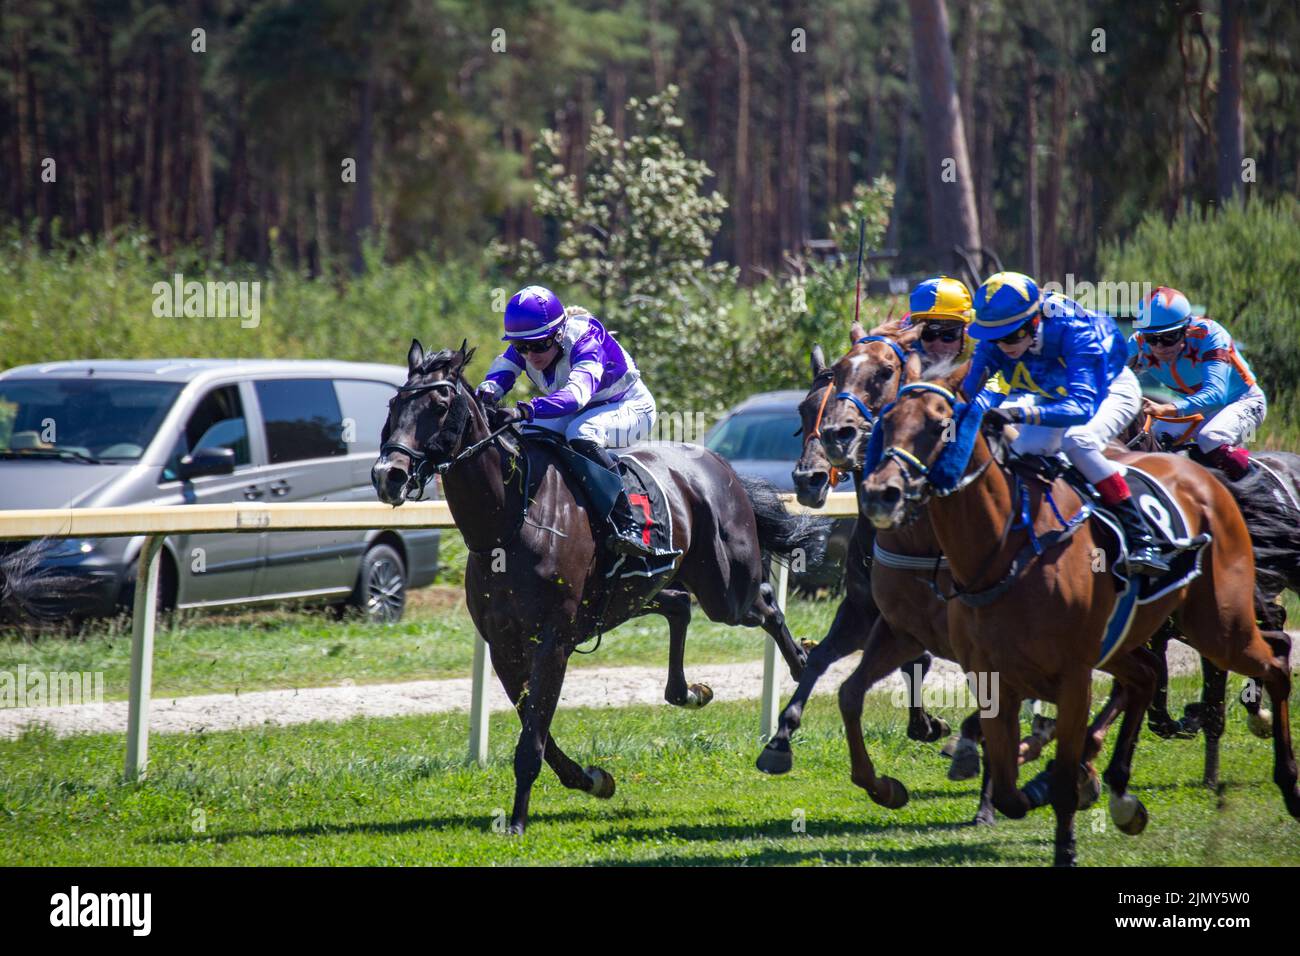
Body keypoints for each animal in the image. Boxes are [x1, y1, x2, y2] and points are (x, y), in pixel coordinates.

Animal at [371, 340, 826, 832]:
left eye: (438, 405)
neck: (510, 523)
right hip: (636, 592)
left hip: (725, 589)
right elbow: (537, 731)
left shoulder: (552, 641)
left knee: (765, 603)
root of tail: (718, 463)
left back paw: (804, 663)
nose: (388, 474)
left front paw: (517, 820)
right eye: (394, 404)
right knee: (679, 605)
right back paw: (689, 692)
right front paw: (590, 779)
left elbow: (533, 737)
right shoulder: (504, 646)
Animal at [857, 364, 1294, 868]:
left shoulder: (1072, 675)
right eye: (888, 421)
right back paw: (1120, 790)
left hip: (1217, 624)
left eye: (939, 425)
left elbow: (1057, 772)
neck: (1004, 552)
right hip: (1139, 639)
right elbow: (1009, 788)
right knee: (1149, 674)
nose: (880, 494)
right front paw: (1036, 778)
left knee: (1274, 660)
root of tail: (1205, 477)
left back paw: (1286, 779)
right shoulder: (988, 673)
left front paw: (1063, 822)